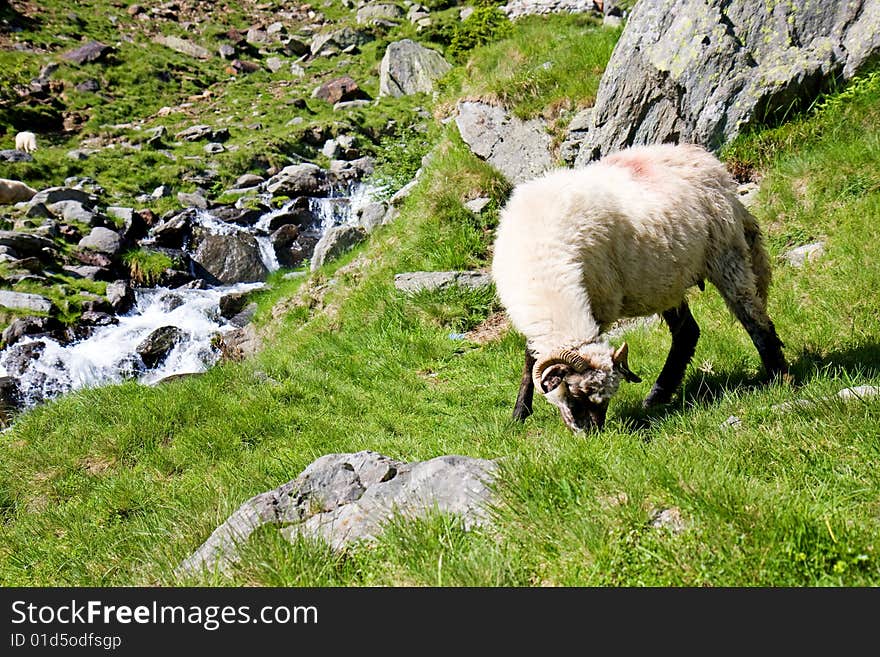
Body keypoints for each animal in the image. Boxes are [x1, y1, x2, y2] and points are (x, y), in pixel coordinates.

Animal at [492, 141, 788, 434]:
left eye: (603, 399)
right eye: (576, 394)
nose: (591, 435)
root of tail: (710, 163)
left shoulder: (600, 305)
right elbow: (530, 359)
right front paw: (518, 415)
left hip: (726, 254)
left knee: (752, 315)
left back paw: (780, 376)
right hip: (667, 281)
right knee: (687, 332)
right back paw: (657, 396)